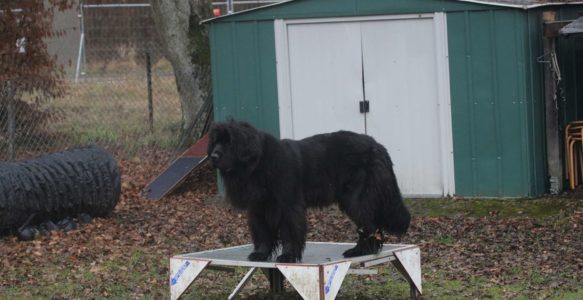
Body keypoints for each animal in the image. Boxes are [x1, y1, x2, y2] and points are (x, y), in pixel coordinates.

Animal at [209, 119, 410, 262]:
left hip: (356, 198)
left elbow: (289, 232)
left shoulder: (288, 205)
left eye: (229, 142)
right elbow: (262, 232)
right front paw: (260, 254)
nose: (213, 155)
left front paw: (288, 256)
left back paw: (360, 251)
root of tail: (378, 146)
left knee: (369, 225)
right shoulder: (257, 207)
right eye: (216, 141)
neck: (258, 164)